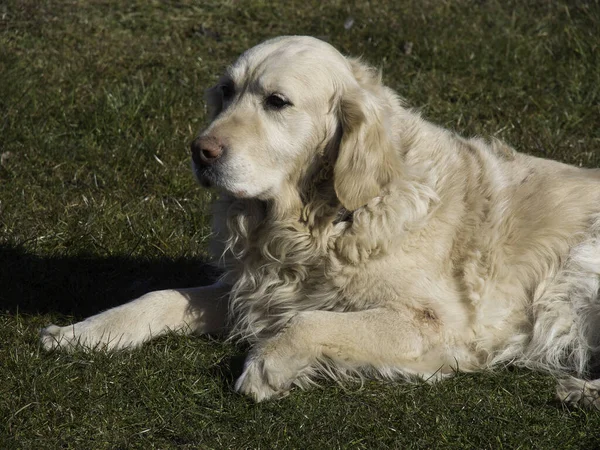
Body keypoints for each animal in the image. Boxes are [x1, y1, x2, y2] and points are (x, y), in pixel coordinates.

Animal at [42, 36, 600, 408]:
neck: (326, 222)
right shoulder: (257, 292)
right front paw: (82, 333)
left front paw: (266, 366)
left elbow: (311, 321)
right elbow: (158, 296)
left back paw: (580, 390)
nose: (200, 151)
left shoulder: (439, 324)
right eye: (225, 91)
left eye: (277, 102)